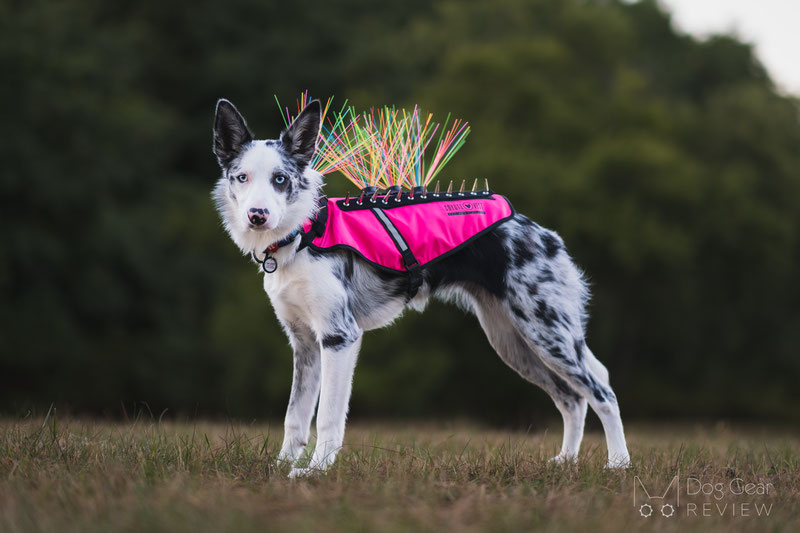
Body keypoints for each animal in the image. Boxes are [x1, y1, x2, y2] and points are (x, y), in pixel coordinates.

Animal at [211, 96, 632, 474]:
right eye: (242, 178)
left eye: (280, 179)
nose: (257, 215)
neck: (303, 234)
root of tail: (544, 234)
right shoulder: (304, 344)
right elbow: (295, 418)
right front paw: (281, 469)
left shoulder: (339, 337)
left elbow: (328, 417)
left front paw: (314, 472)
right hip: (515, 343)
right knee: (572, 399)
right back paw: (566, 461)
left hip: (547, 335)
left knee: (603, 393)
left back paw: (619, 464)